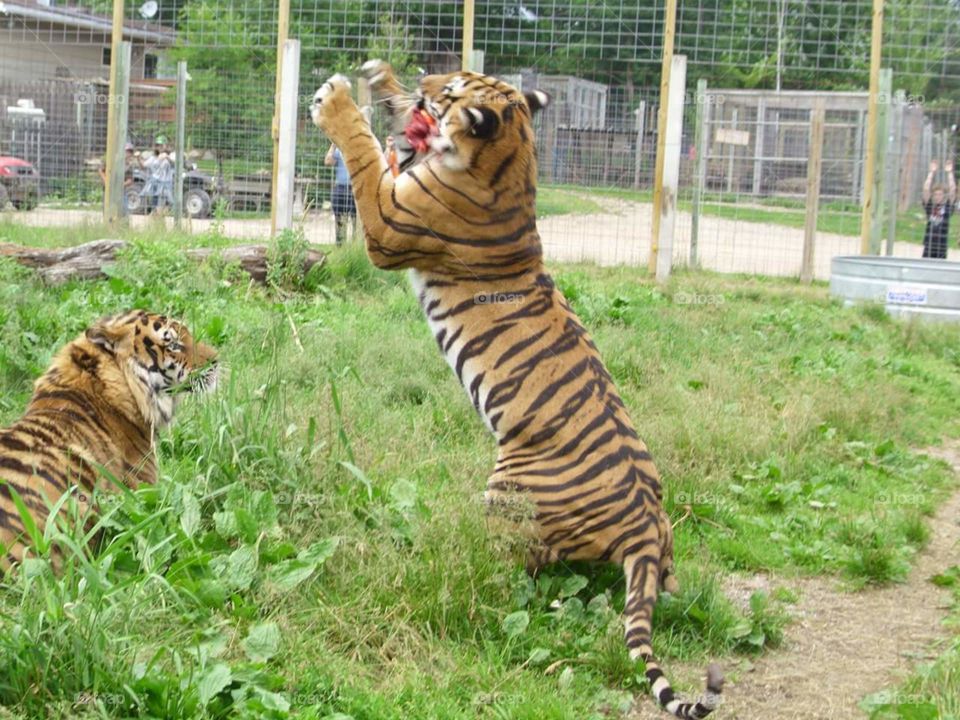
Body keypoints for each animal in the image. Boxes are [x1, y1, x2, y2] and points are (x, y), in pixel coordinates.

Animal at [310, 62, 723, 718]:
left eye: (450, 91)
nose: (426, 75)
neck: (510, 159)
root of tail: (644, 525)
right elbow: (389, 144)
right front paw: (381, 80)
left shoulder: (386, 220)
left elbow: (365, 153)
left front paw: (341, 100)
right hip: (656, 546)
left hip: (508, 492)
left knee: (514, 574)